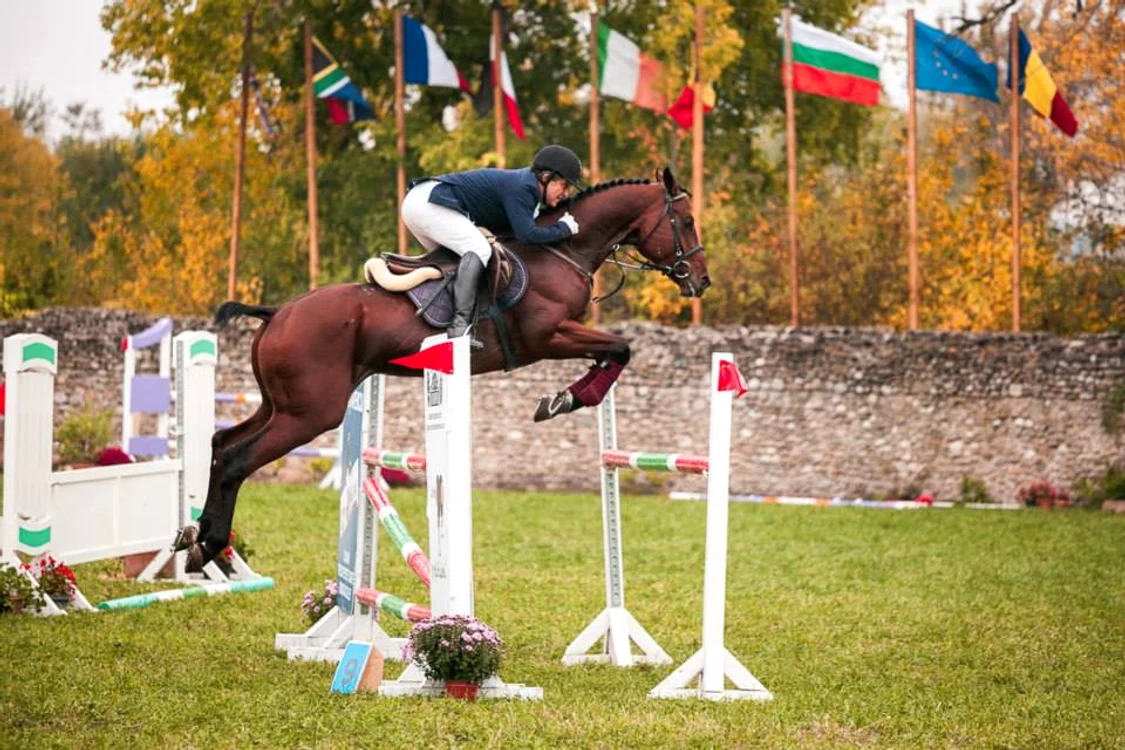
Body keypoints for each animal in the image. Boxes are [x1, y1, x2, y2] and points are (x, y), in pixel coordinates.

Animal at [174, 167, 709, 570]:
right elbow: (622, 348)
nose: (700, 282)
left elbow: (614, 352)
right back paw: (210, 544)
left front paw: (565, 396)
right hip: (309, 414)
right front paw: (567, 399)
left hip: (279, 405)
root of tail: (278, 313)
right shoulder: (549, 337)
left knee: (222, 444)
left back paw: (197, 539)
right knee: (238, 460)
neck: (562, 253)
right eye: (685, 219)